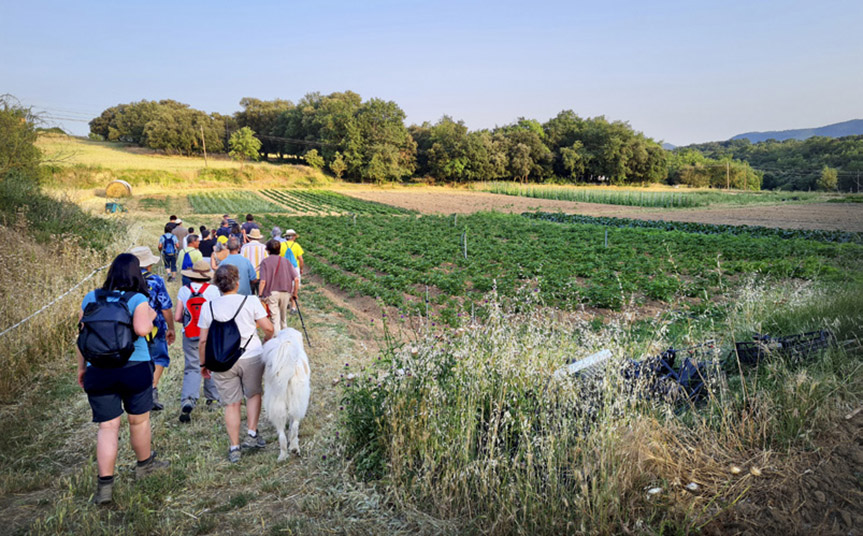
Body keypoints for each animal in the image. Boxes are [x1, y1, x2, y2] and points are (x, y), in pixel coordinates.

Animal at [262, 326, 312, 460]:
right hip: (297, 403)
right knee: (294, 426)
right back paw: (294, 447)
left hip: (278, 406)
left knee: (281, 435)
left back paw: (284, 454)